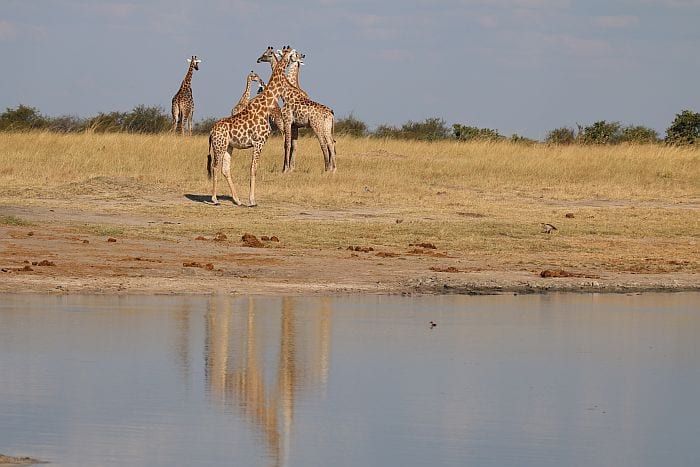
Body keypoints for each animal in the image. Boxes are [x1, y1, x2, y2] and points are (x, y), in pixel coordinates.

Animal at [206, 47, 296, 207]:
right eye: (293, 54)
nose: (301, 57)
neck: (267, 105)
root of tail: (211, 131)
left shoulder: (257, 143)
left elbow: (252, 168)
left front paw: (249, 199)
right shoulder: (259, 142)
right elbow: (253, 169)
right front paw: (252, 200)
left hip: (229, 146)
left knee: (225, 169)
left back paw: (237, 200)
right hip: (219, 146)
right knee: (215, 166)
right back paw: (215, 199)